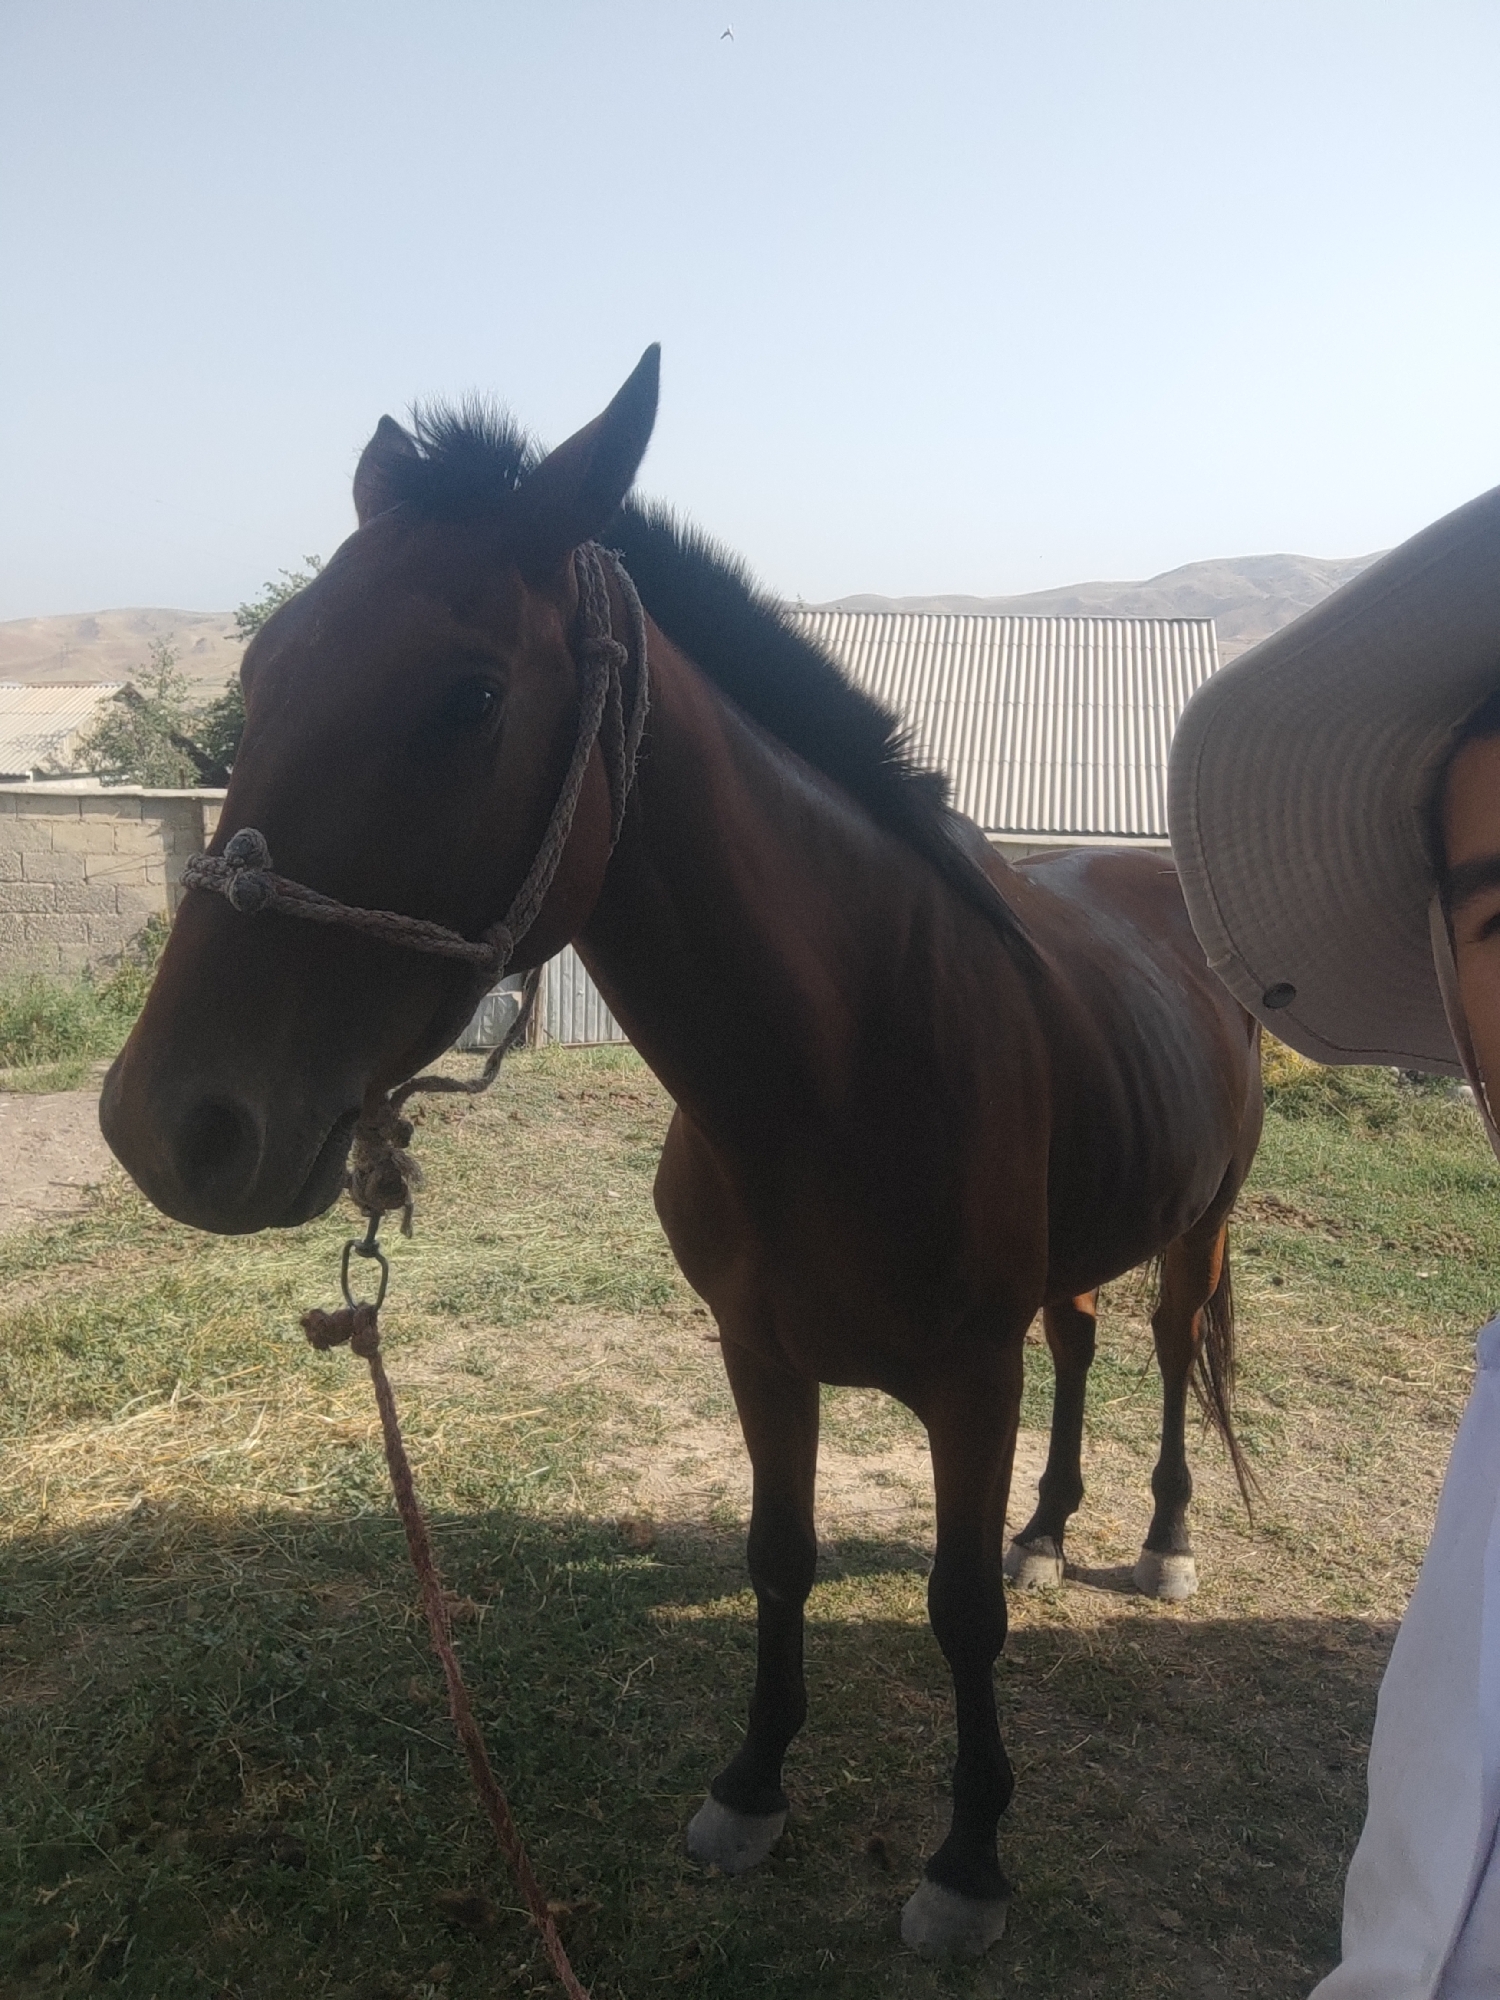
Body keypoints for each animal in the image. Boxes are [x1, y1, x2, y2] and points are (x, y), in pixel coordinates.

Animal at [99, 347, 1262, 1961]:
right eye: (264, 671)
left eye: (470, 696)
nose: (171, 1127)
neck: (842, 1065)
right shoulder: (756, 1351)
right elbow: (779, 1557)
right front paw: (752, 1786)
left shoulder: (969, 1379)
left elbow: (959, 1611)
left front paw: (967, 1857)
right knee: (1085, 1341)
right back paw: (1050, 1527)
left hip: (1201, 1225)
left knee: (1163, 1348)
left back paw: (1158, 1540)